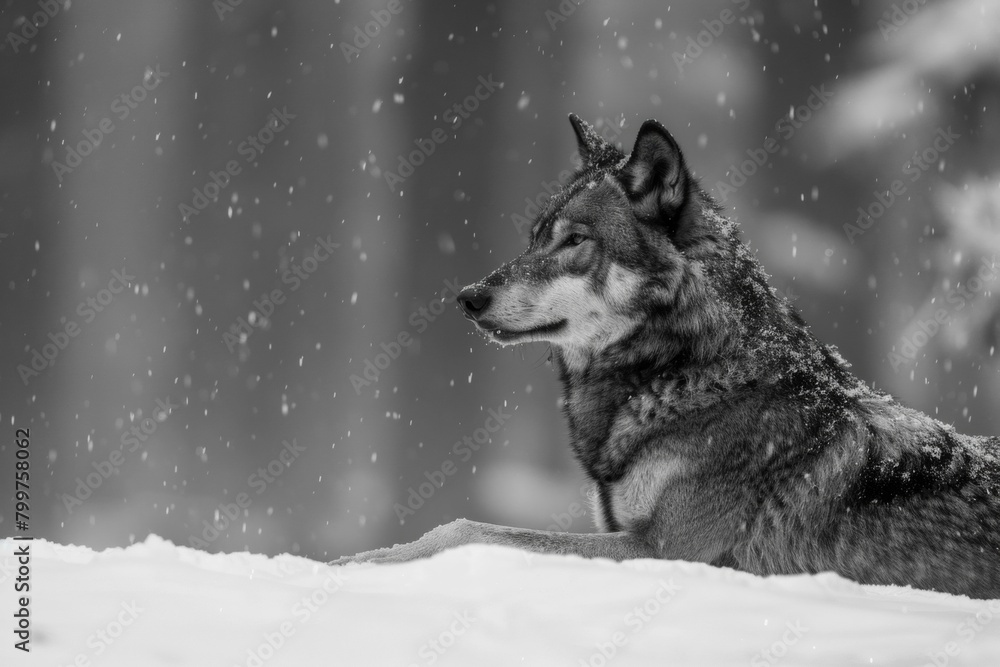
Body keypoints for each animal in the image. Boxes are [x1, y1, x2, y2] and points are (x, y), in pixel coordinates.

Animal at [336, 114, 1000, 599]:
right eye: (534, 238)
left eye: (575, 241)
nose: (469, 297)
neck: (684, 372)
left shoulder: (663, 551)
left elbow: (469, 528)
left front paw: (360, 563)